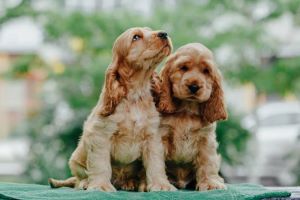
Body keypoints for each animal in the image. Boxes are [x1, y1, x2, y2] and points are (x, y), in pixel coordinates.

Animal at [49, 27, 176, 192]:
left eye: (149, 30)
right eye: (136, 37)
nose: (164, 33)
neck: (135, 95)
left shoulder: (152, 137)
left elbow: (156, 165)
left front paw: (161, 185)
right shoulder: (100, 135)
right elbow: (101, 164)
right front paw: (101, 186)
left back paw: (130, 183)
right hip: (75, 160)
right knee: (78, 178)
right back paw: (85, 183)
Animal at [152, 42, 227, 191]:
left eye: (206, 71)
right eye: (183, 68)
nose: (194, 86)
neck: (187, 110)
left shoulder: (206, 139)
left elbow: (207, 162)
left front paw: (210, 183)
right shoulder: (162, 135)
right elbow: (157, 162)